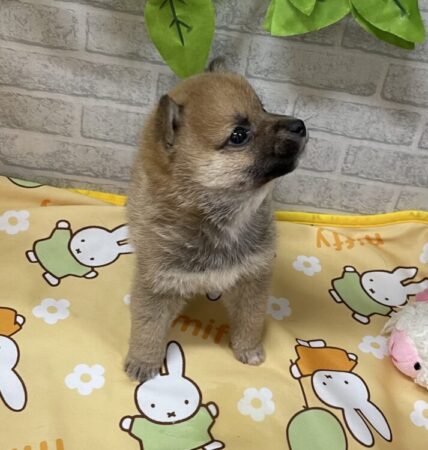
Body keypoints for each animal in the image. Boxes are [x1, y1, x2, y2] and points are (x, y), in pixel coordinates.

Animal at [125, 59, 308, 381]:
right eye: (239, 135)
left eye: (263, 108)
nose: (299, 125)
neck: (220, 222)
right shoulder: (158, 283)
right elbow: (147, 328)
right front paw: (143, 361)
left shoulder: (252, 276)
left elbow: (250, 319)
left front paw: (248, 349)